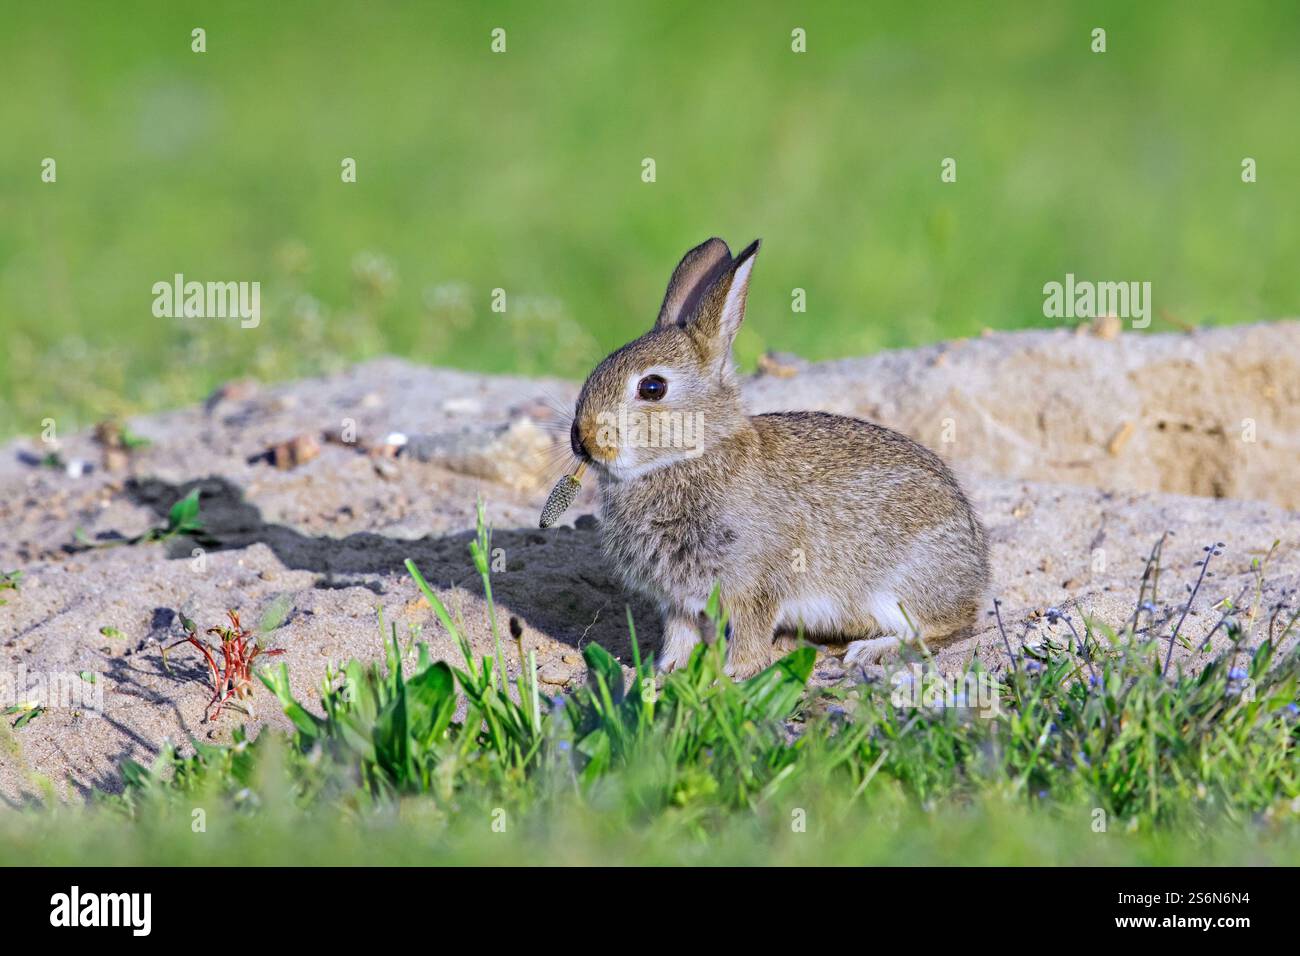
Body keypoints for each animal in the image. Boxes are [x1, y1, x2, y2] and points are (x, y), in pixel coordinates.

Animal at [569, 237, 990, 678]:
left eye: (652, 387)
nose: (581, 440)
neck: (690, 455)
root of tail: (977, 568)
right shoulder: (680, 601)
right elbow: (679, 636)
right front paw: (666, 671)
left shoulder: (752, 584)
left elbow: (750, 632)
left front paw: (735, 675)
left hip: (898, 586)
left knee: (945, 625)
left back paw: (870, 650)